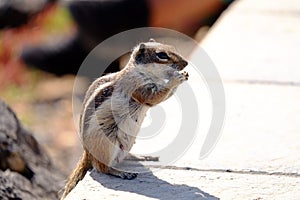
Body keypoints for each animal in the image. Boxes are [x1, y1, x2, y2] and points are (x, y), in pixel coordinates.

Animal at [61, 39, 189, 198]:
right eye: (162, 55)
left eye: (172, 47)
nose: (186, 63)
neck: (139, 71)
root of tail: (87, 154)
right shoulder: (138, 87)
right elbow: (154, 98)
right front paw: (176, 78)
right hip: (107, 142)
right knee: (102, 168)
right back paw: (122, 173)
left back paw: (144, 158)